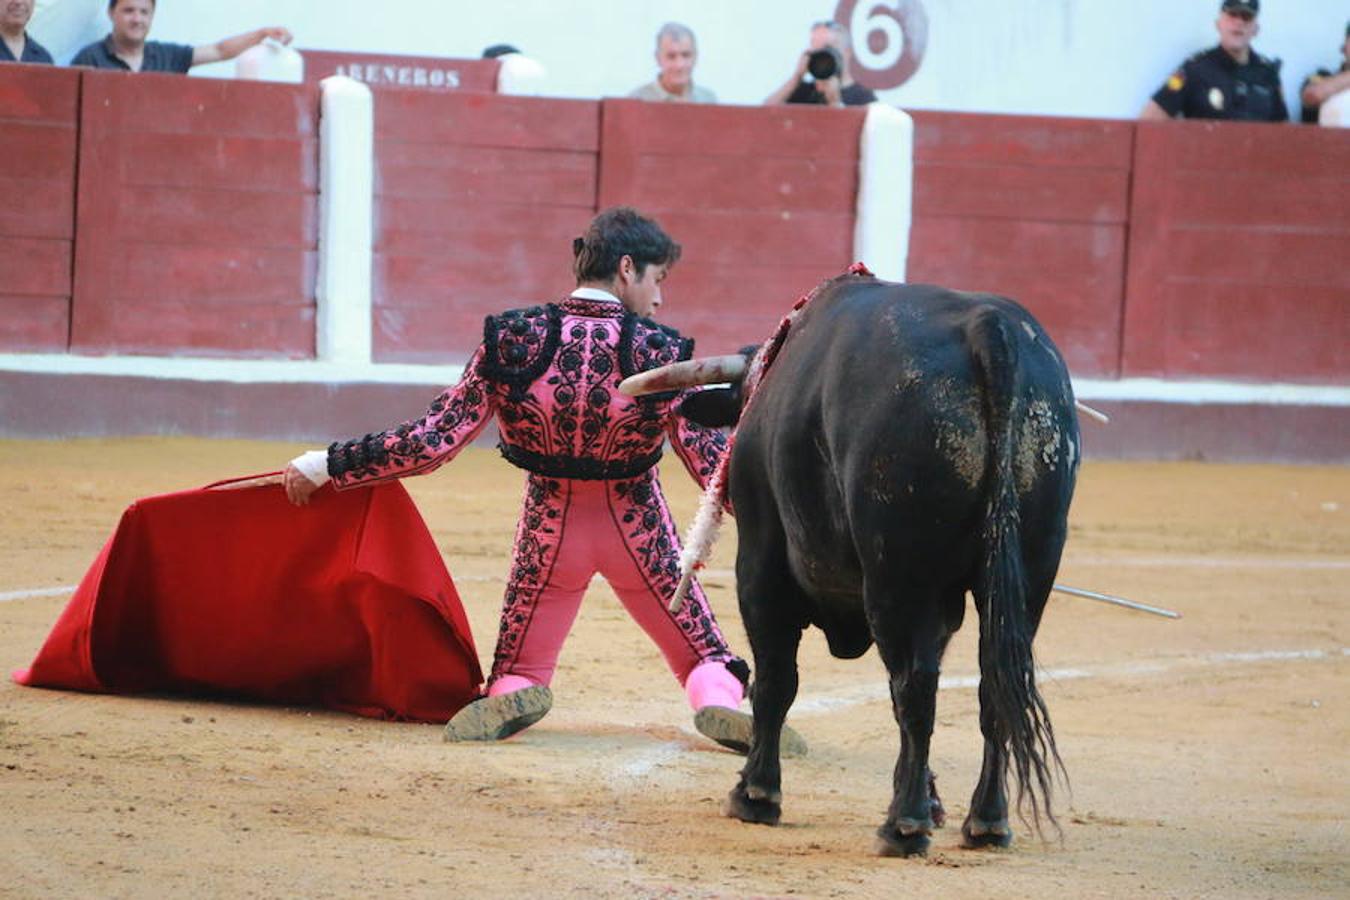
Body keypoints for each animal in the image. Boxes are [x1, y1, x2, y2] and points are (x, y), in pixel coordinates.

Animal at [685, 277, 1074, 858]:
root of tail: (989, 329)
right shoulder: (946, 604)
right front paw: (933, 800)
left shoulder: (760, 565)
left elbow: (776, 679)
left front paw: (756, 794)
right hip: (1032, 568)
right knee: (992, 687)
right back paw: (984, 822)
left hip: (897, 575)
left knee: (915, 686)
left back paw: (903, 826)